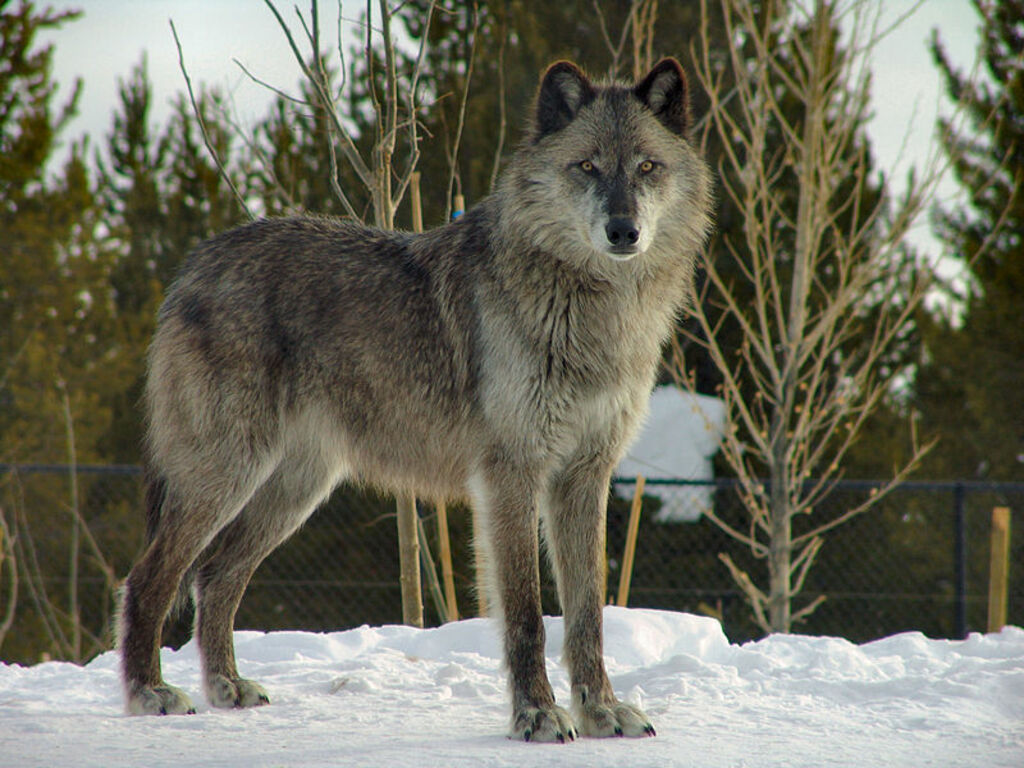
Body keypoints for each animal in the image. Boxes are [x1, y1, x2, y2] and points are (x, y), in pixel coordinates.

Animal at [118, 57, 712, 742]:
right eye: (587, 166)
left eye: (646, 167)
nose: (623, 230)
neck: (592, 310)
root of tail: (195, 263)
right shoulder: (510, 476)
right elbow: (526, 617)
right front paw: (537, 716)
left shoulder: (584, 477)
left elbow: (587, 613)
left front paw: (599, 711)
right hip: (226, 475)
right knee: (149, 578)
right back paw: (149, 693)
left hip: (292, 490)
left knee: (214, 577)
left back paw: (226, 687)